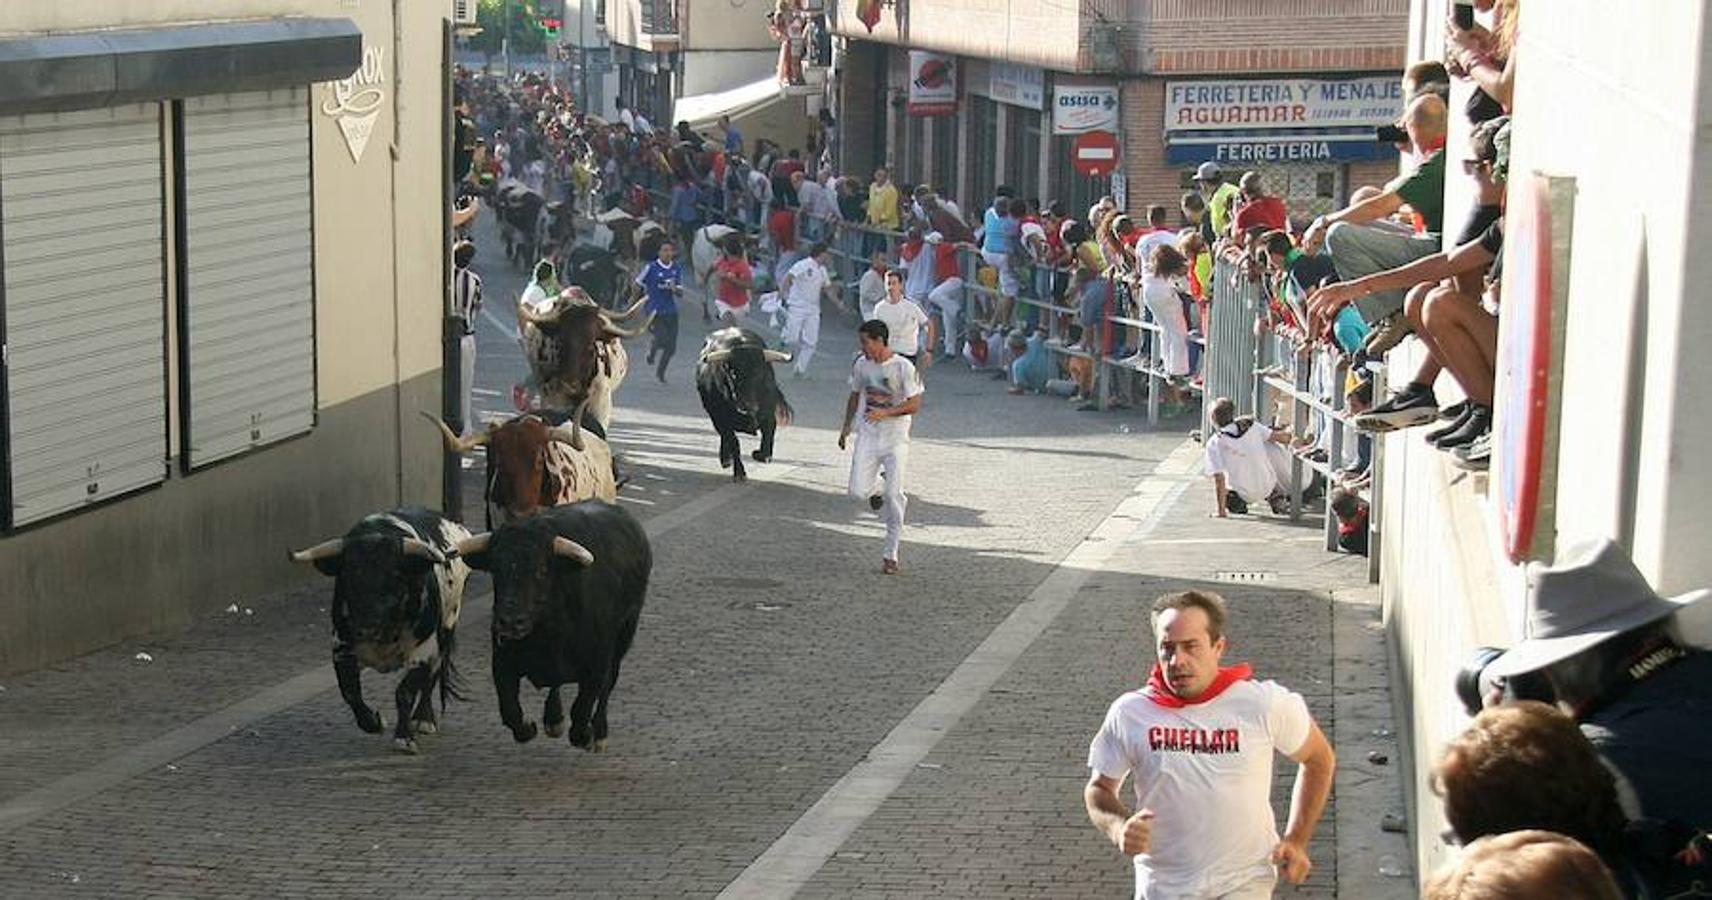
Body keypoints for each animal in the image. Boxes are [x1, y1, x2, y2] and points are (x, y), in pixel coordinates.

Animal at [289, 513, 472, 759]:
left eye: (395, 574)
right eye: (347, 575)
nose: (366, 627)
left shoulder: (424, 649)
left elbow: (405, 692)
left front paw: (404, 737)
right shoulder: (341, 648)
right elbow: (350, 692)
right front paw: (373, 722)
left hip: (446, 631)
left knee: (431, 679)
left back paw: (423, 719)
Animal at [695, 328, 794, 482]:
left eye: (760, 373)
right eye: (733, 373)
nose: (745, 405)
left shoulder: (769, 417)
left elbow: (767, 442)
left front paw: (759, 455)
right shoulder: (720, 419)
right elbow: (734, 442)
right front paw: (739, 472)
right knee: (725, 437)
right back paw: (726, 459)